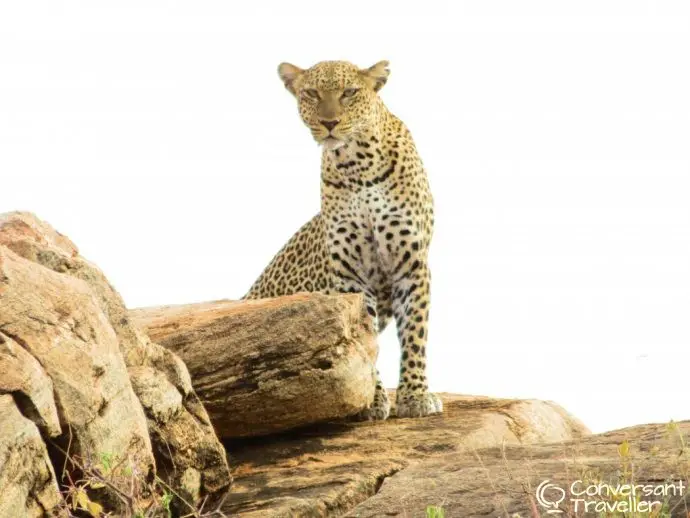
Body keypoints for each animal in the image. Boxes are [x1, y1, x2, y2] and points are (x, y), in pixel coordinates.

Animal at [245, 59, 444, 420]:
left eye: (349, 92)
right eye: (311, 93)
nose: (329, 123)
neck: (358, 165)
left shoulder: (412, 264)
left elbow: (415, 333)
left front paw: (415, 396)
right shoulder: (351, 272)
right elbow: (364, 341)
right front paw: (370, 401)